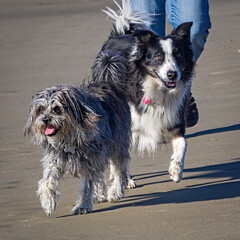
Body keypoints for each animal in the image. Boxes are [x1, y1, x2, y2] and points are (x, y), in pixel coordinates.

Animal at [25, 54, 134, 216]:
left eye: (57, 109)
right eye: (40, 109)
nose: (45, 120)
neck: (69, 138)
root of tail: (107, 83)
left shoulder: (92, 160)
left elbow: (87, 186)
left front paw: (83, 206)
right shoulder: (55, 160)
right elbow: (47, 181)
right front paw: (48, 202)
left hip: (118, 144)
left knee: (119, 168)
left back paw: (116, 191)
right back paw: (99, 194)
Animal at [93, 0, 196, 183]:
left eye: (178, 55)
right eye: (158, 57)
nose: (172, 74)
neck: (158, 89)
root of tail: (118, 34)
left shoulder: (174, 118)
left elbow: (182, 144)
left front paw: (176, 170)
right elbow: (121, 155)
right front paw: (124, 179)